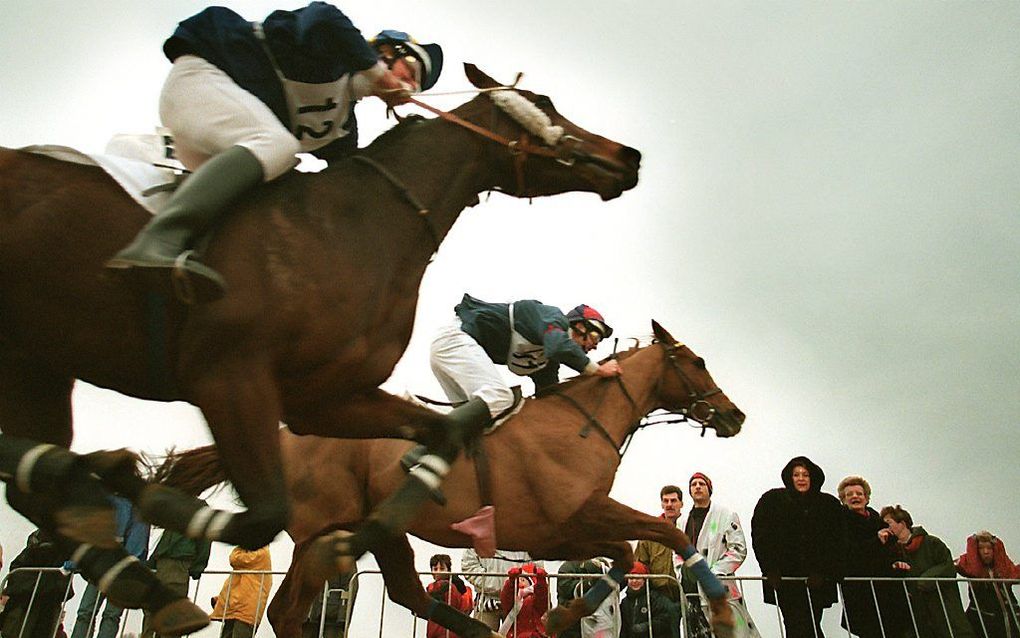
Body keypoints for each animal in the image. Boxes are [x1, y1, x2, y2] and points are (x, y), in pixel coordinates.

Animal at [161, 322, 750, 636]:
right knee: (288, 610)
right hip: (321, 534)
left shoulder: (566, 531)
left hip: (379, 532)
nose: (735, 415)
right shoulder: (567, 522)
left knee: (401, 595)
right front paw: (720, 606)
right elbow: (661, 532)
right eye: (698, 361)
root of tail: (284, 438)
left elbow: (627, 554)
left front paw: (561, 613)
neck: (580, 425)